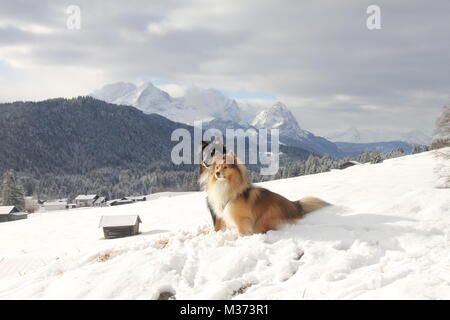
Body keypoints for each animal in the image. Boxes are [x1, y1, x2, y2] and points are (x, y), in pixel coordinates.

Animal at [200, 141, 330, 236]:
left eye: (225, 167)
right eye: (217, 167)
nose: (217, 173)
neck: (225, 185)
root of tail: (293, 205)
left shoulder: (241, 219)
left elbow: (241, 232)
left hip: (266, 216)